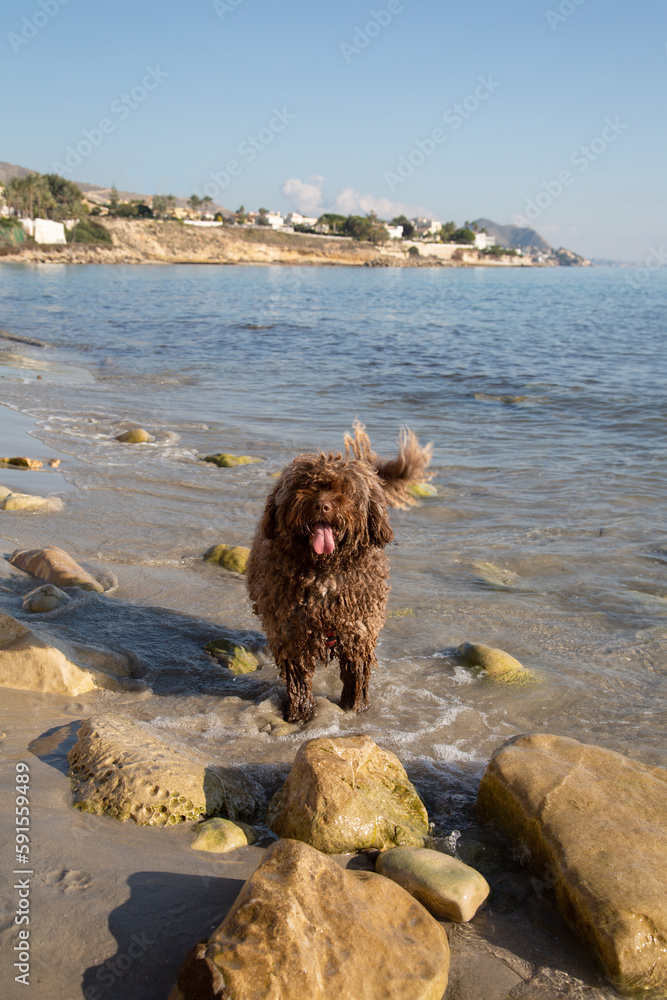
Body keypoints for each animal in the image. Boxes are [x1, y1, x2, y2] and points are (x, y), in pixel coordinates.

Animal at [247, 426, 434, 724]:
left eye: (345, 490)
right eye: (306, 485)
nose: (322, 506)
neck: (326, 571)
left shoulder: (358, 630)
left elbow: (356, 675)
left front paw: (355, 708)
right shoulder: (292, 633)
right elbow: (299, 681)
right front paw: (299, 715)